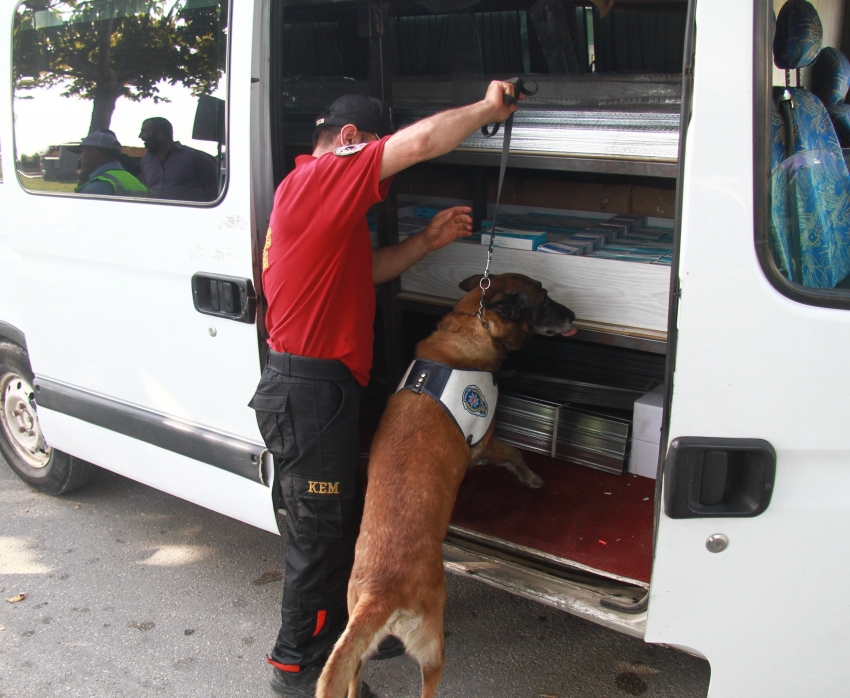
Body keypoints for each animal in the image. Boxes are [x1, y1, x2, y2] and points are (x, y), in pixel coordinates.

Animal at [316, 272, 576, 696]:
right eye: (545, 298)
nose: (574, 315)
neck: (474, 321)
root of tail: (379, 593)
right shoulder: (486, 441)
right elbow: (515, 452)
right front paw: (531, 476)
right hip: (433, 648)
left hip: (360, 651)